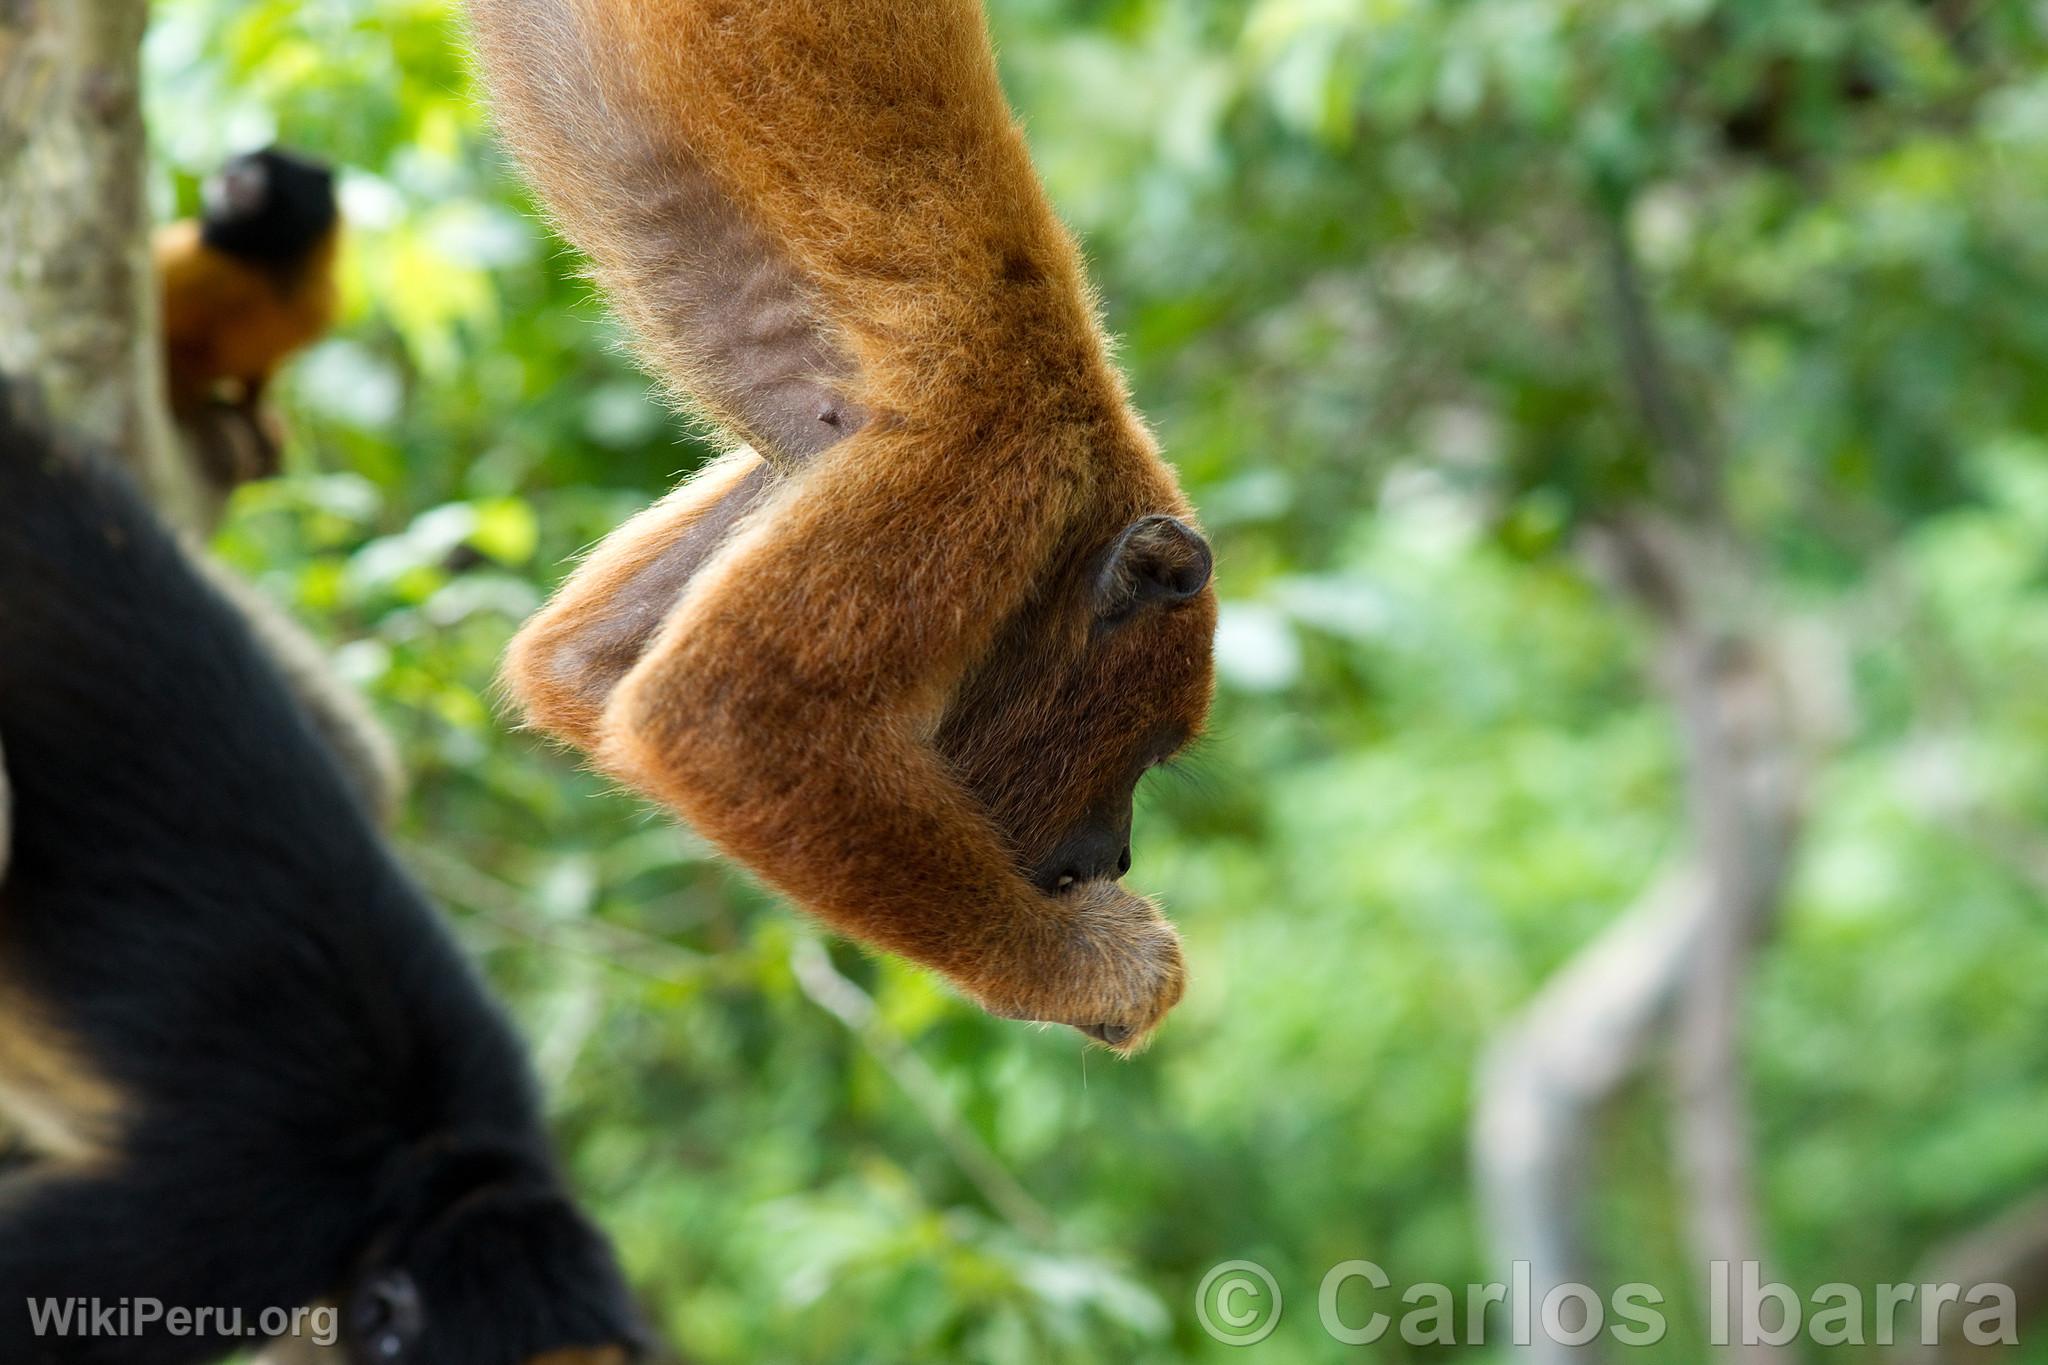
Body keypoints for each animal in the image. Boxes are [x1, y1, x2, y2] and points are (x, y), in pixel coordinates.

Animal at [468, 0, 1212, 1055]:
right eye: (1146, 749)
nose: (1117, 855)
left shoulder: (820, 462)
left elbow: (577, 667)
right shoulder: (994, 460)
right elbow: (724, 717)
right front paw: (1090, 968)